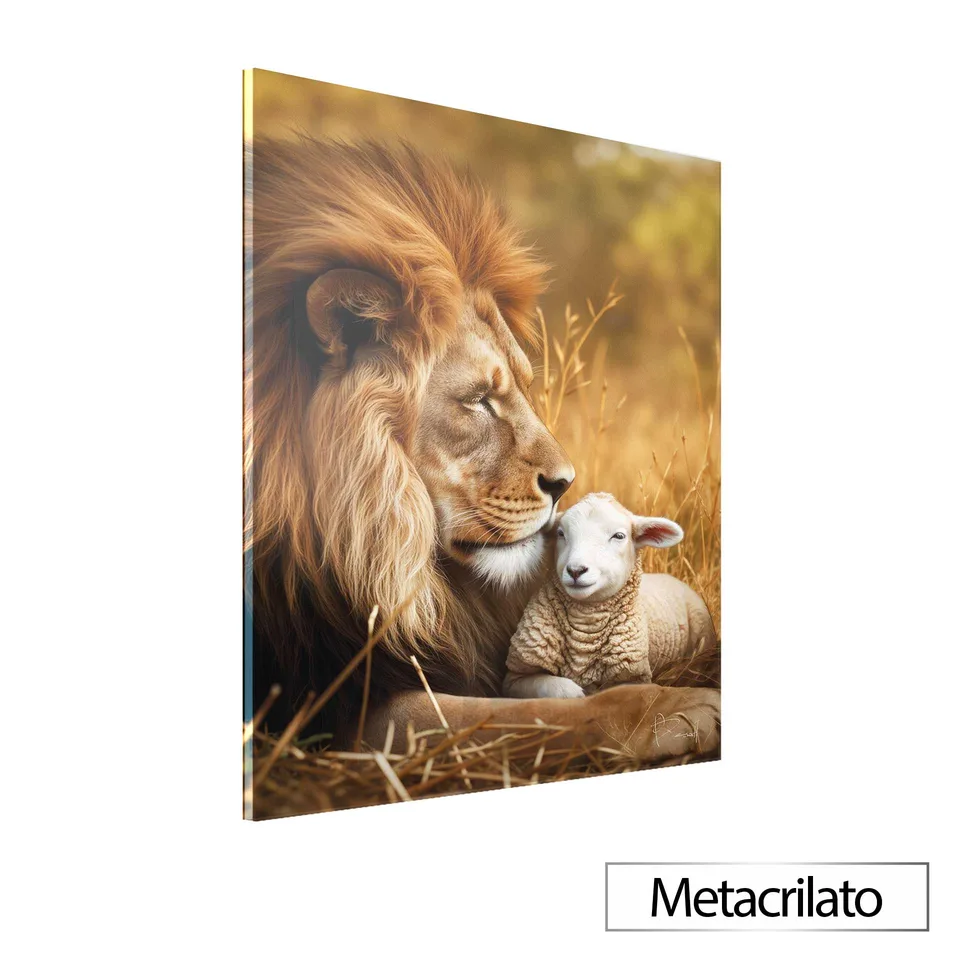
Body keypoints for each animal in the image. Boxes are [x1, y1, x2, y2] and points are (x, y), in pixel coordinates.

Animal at [244, 136, 719, 763]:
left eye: (522, 385)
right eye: (477, 400)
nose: (565, 483)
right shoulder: (332, 704)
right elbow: (533, 714)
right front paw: (680, 706)